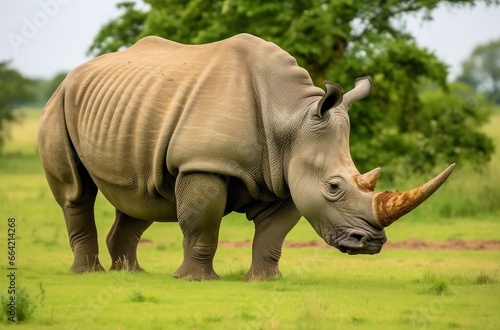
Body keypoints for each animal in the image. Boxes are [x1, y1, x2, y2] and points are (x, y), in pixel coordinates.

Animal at [39, 34, 454, 282]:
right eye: (334, 187)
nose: (371, 243)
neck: (291, 118)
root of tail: (71, 76)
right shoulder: (203, 163)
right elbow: (201, 223)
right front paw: (195, 281)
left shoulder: (287, 174)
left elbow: (273, 233)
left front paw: (266, 281)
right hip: (59, 104)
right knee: (76, 192)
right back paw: (87, 274)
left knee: (142, 196)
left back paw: (132, 274)